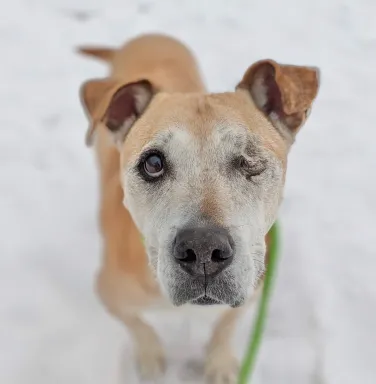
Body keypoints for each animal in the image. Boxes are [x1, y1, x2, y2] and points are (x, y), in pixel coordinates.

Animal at [77, 34, 320, 382]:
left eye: (250, 161)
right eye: (153, 163)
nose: (203, 251)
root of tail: (146, 36)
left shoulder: (252, 289)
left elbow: (225, 327)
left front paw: (218, 363)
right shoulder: (110, 294)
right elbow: (139, 326)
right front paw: (149, 358)